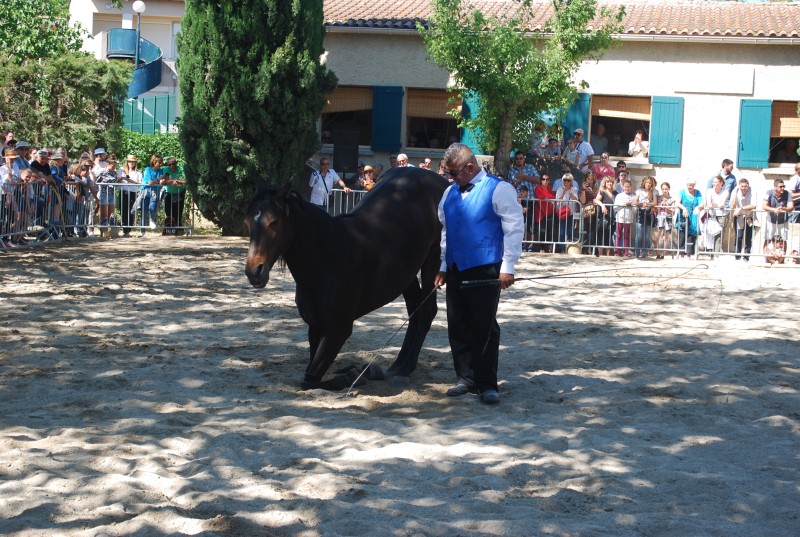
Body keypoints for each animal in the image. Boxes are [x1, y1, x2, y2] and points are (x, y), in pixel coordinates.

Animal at [242, 168, 450, 390]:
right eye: (248, 222)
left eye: (273, 222)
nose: (254, 271)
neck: (329, 256)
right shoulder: (315, 326)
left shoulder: (338, 330)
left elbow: (310, 380)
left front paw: (353, 374)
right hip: (405, 273)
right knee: (414, 311)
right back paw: (398, 364)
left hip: (433, 262)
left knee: (426, 311)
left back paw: (406, 366)